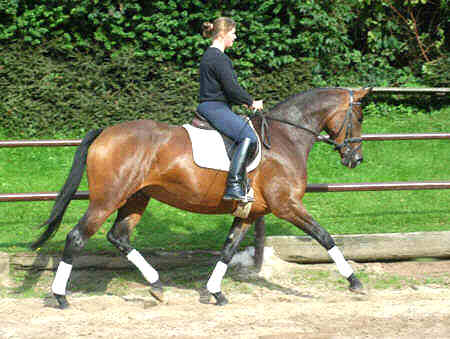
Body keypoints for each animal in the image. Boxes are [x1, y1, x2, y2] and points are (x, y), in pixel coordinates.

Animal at [30, 87, 370, 308]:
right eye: (359, 117)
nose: (356, 159)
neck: (286, 138)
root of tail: (105, 132)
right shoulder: (287, 205)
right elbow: (323, 236)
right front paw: (354, 281)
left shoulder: (249, 212)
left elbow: (228, 249)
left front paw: (215, 292)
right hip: (107, 199)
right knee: (77, 237)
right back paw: (60, 296)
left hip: (136, 198)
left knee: (119, 236)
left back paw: (156, 285)